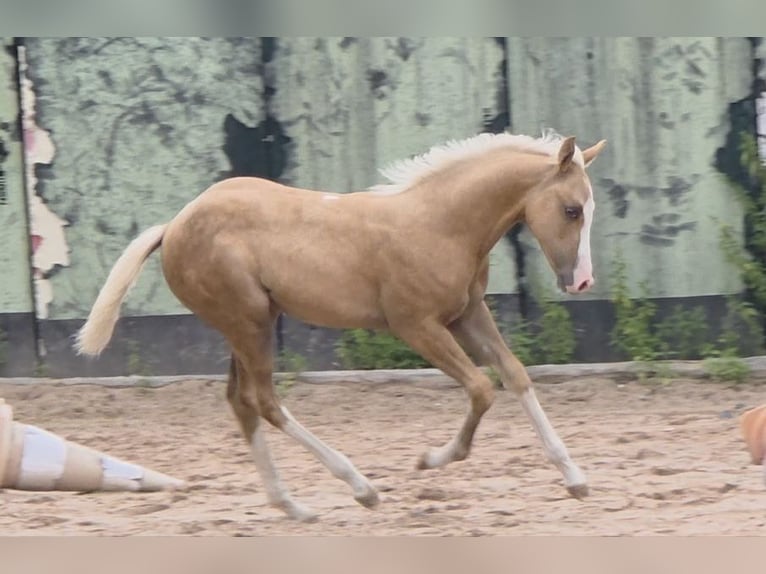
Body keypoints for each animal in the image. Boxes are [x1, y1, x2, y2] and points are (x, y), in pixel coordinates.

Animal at [75, 130, 607, 521]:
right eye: (570, 210)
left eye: (589, 209)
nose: (581, 281)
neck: (441, 223)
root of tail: (173, 226)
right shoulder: (416, 325)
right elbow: (480, 388)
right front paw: (430, 459)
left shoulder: (467, 314)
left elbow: (514, 375)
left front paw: (576, 479)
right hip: (249, 322)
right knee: (264, 401)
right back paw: (360, 487)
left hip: (248, 324)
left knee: (241, 402)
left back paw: (292, 506)